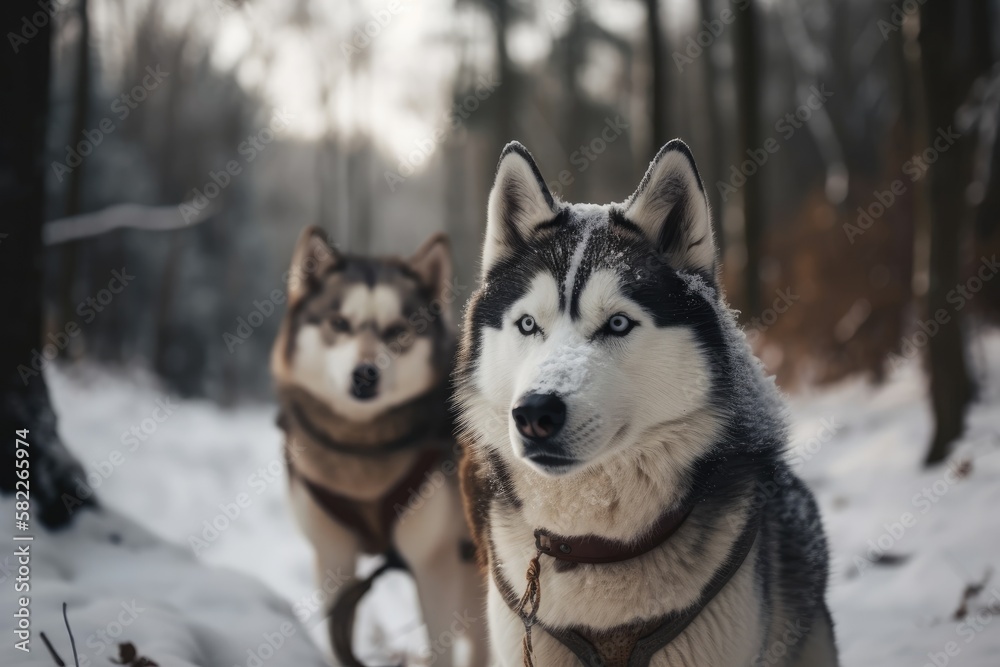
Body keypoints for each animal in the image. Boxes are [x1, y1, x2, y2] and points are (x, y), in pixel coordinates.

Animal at [274, 227, 488, 664]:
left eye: (397, 331)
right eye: (340, 323)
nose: (365, 375)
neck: (363, 449)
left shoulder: (434, 562)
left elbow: (440, 649)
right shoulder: (333, 558)